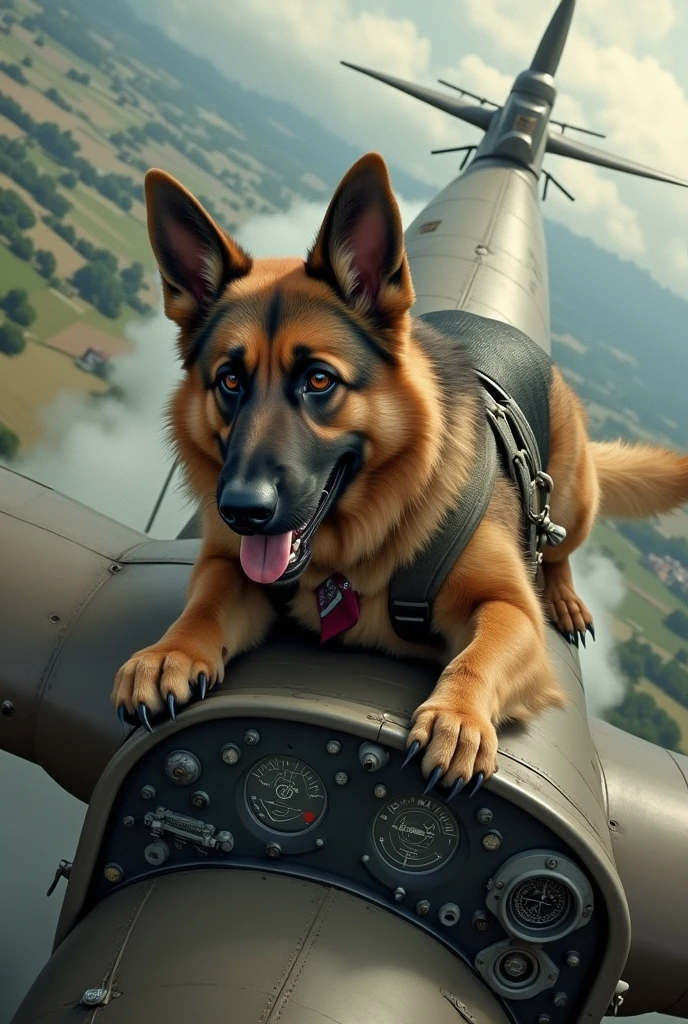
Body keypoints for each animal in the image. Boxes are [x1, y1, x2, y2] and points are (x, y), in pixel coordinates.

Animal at [111, 153, 688, 790]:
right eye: (229, 381)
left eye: (319, 380)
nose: (241, 510)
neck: (354, 549)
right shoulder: (225, 566)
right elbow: (207, 603)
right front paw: (173, 651)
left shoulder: (511, 611)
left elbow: (479, 653)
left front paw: (458, 717)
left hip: (573, 501)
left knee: (558, 546)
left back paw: (563, 595)